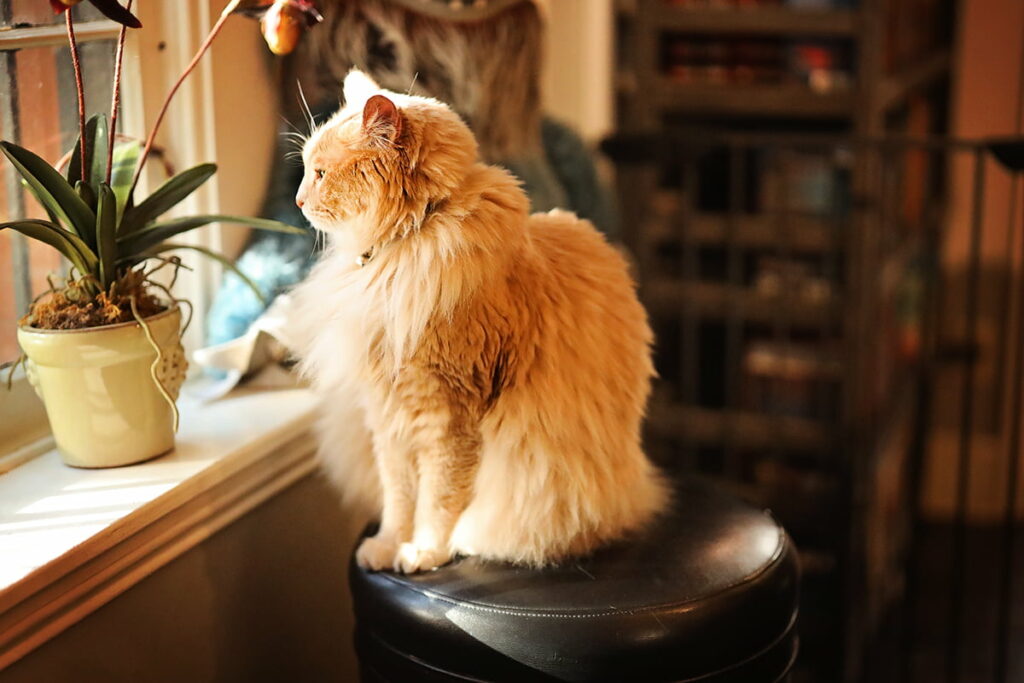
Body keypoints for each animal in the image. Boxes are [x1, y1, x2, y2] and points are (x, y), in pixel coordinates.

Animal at [292, 70, 667, 573]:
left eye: (319, 174)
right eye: (306, 169)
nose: (297, 201)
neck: (404, 248)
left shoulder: (448, 415)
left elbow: (438, 498)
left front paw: (423, 552)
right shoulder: (389, 419)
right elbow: (398, 500)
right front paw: (388, 547)